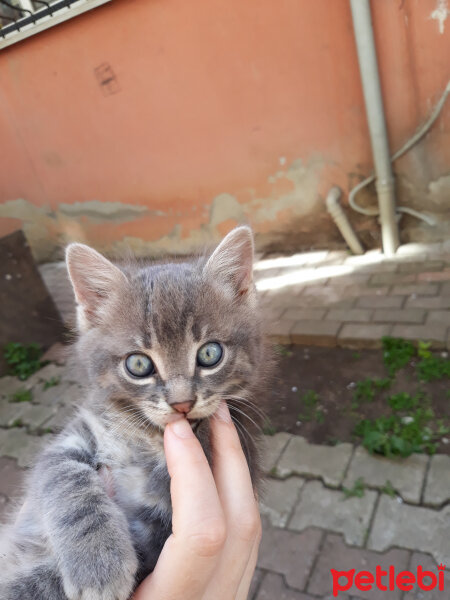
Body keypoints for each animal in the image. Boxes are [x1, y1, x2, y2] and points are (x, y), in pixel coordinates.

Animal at [0, 227, 268, 600]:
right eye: (138, 365)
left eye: (210, 354)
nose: (182, 402)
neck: (144, 437)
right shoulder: (78, 433)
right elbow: (64, 478)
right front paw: (97, 559)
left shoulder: (160, 529)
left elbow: (47, 583)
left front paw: (91, 573)